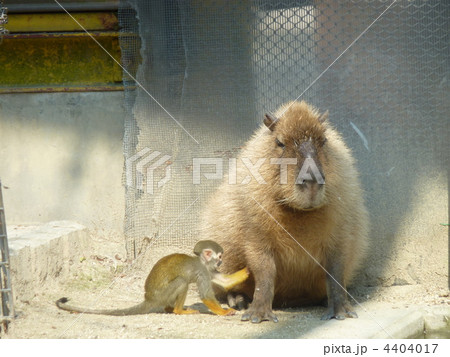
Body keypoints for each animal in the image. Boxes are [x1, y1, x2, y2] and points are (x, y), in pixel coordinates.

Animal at [55, 241, 250, 316]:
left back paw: (171, 308)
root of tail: (149, 298)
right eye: (219, 257)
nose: (221, 262)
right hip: (162, 294)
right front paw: (224, 311)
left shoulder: (209, 270)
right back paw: (178, 311)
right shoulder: (203, 271)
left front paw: (248, 270)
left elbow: (225, 281)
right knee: (182, 282)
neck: (203, 262)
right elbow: (206, 295)